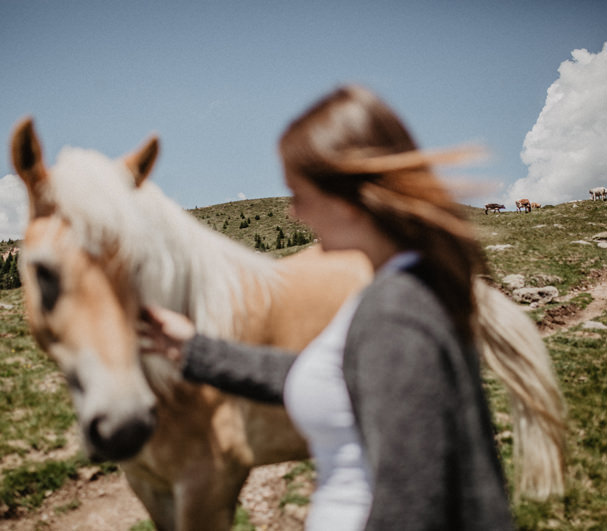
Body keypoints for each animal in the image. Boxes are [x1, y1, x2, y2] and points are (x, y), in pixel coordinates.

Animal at [10, 118, 568, 528]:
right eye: (42, 270)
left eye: (143, 266)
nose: (123, 424)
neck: (172, 391)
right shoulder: (149, 486)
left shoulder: (207, 488)